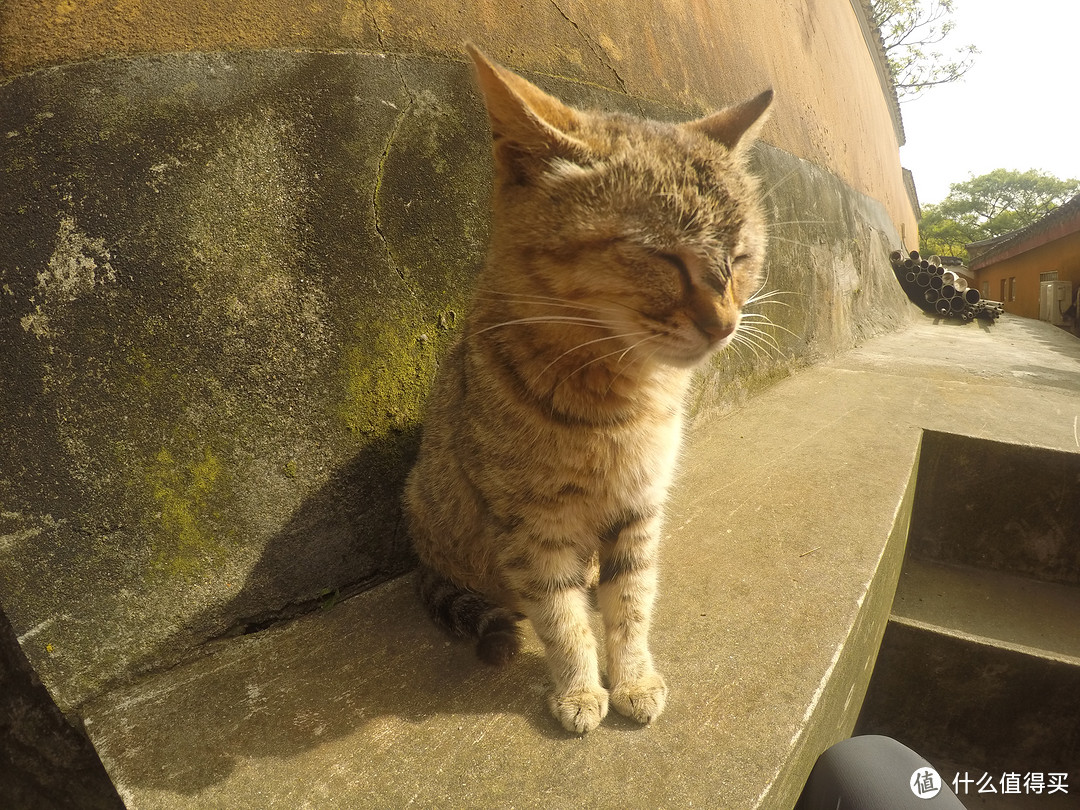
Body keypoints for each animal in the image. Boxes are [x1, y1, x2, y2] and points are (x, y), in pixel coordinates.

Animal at [403, 47, 768, 738]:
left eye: (739, 260)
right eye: (661, 257)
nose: (726, 324)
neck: (620, 400)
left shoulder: (640, 507)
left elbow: (631, 604)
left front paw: (634, 678)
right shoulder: (533, 526)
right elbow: (562, 619)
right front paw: (578, 688)